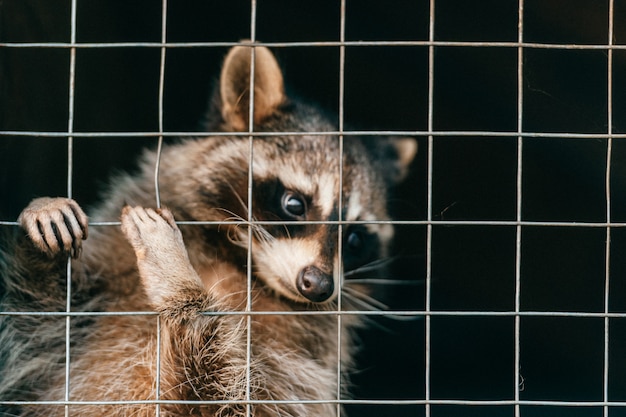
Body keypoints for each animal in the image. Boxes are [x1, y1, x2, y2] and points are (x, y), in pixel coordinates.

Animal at [0, 45, 414, 416]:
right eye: (294, 204)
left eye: (355, 238)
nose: (318, 285)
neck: (238, 260)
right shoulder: (108, 270)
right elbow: (38, 325)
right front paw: (42, 235)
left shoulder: (306, 357)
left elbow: (234, 393)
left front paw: (178, 280)